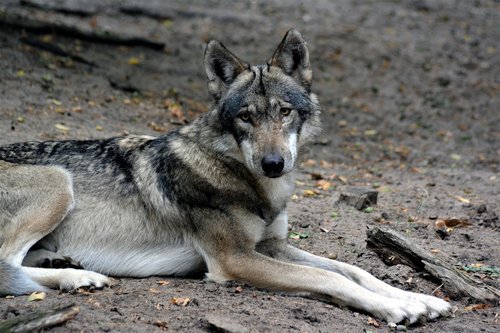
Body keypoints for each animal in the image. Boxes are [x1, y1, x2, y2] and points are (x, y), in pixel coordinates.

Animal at [0, 29, 454, 322]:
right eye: (246, 117)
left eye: (284, 112)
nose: (274, 164)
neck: (254, 184)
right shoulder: (234, 259)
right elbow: (327, 276)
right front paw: (397, 308)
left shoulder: (270, 246)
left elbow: (353, 270)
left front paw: (417, 299)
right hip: (58, 182)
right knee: (6, 266)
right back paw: (78, 276)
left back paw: (67, 264)